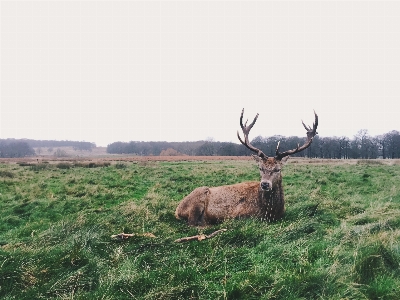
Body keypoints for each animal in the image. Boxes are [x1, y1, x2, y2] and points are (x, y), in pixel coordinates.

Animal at [176, 109, 318, 226]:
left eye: (278, 169)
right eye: (260, 168)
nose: (265, 184)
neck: (270, 212)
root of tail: (177, 210)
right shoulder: (238, 215)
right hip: (197, 201)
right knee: (192, 223)